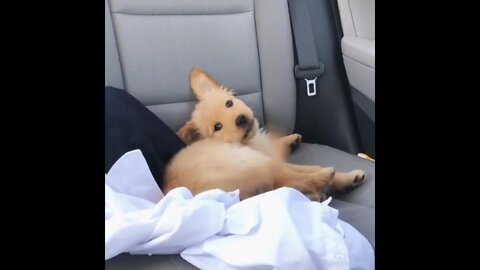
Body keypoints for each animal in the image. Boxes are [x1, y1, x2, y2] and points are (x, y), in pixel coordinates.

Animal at [163, 68, 366, 201]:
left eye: (229, 103)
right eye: (217, 126)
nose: (240, 119)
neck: (249, 141)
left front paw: (290, 140)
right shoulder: (268, 159)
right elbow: (305, 168)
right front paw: (344, 177)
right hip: (251, 162)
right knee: (291, 179)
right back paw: (329, 177)